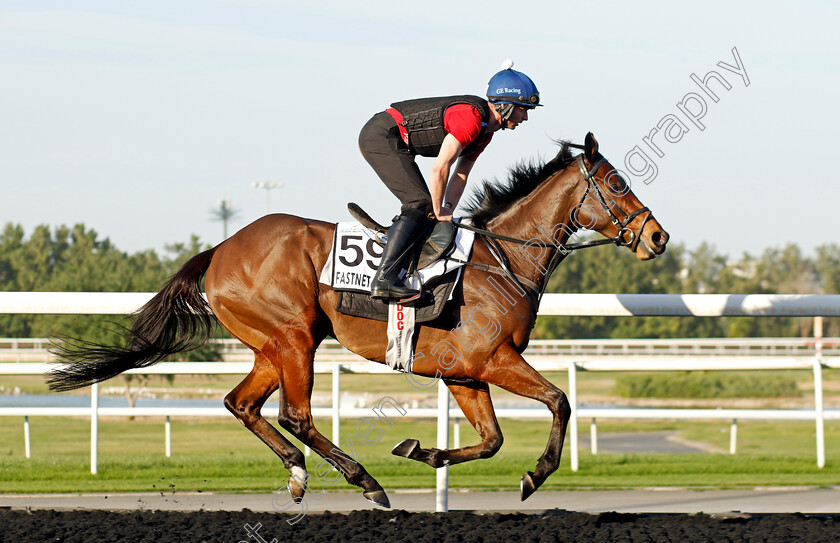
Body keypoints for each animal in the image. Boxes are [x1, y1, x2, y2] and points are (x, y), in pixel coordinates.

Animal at [50, 134, 668, 508]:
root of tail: (221, 249)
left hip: (272, 344)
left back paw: (299, 474)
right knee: (295, 416)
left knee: (241, 404)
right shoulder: (493, 359)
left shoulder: (464, 372)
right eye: (617, 183)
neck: (501, 259)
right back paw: (364, 482)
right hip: (295, 337)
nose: (658, 237)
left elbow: (491, 440)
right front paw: (534, 475)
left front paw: (424, 452)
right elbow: (560, 402)